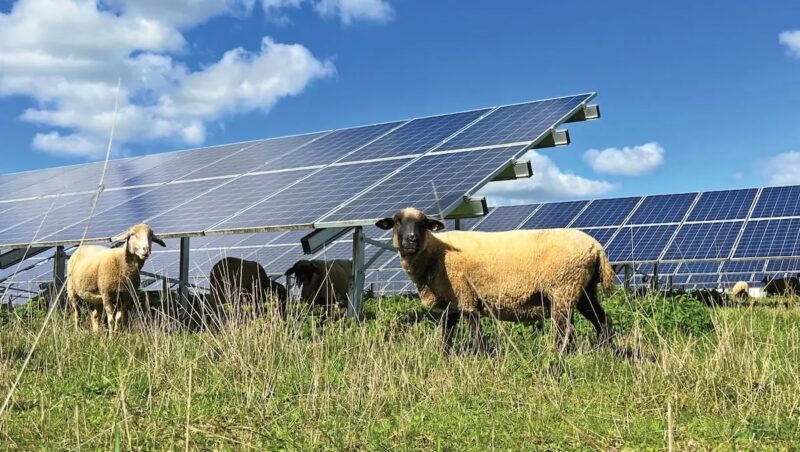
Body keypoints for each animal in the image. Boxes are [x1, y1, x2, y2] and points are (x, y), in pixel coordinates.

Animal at [378, 208, 616, 354]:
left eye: (424, 223)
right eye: (397, 222)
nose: (411, 240)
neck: (436, 254)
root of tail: (597, 247)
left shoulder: (465, 296)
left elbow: (476, 333)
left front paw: (483, 357)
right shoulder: (451, 303)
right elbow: (446, 334)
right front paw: (444, 357)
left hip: (563, 287)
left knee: (566, 330)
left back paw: (557, 357)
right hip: (583, 289)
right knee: (603, 320)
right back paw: (605, 351)